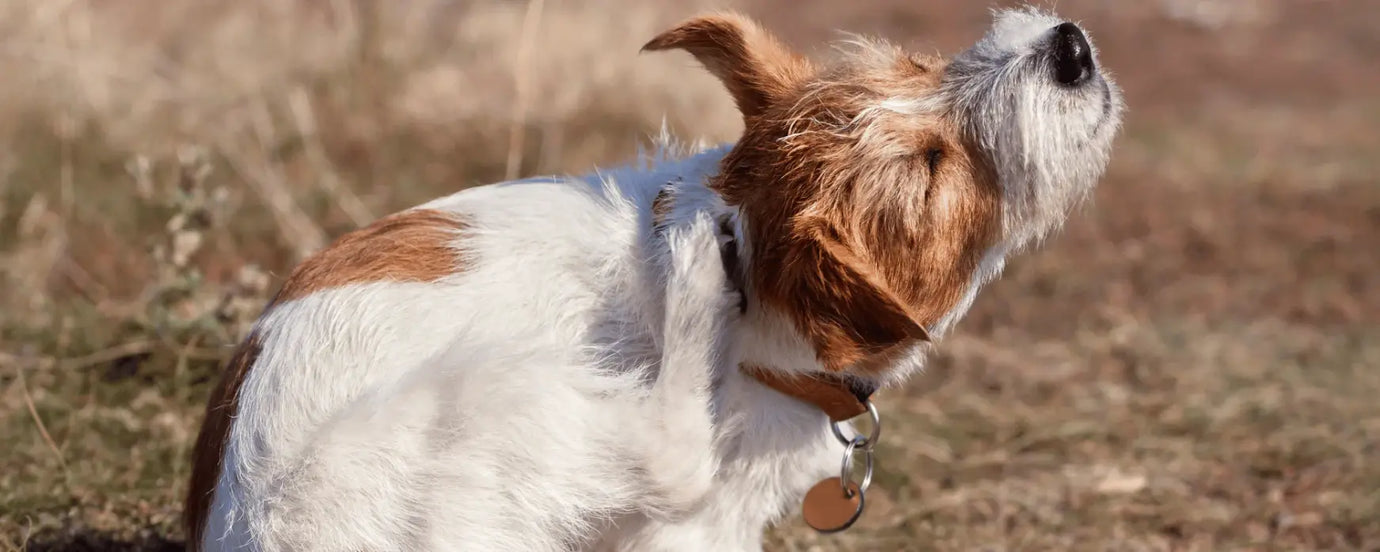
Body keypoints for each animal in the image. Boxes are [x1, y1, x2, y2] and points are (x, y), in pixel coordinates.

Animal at [186, 6, 1120, 549]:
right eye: (931, 168)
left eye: (921, 67)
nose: (1069, 47)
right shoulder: (689, 534)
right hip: (497, 393)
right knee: (670, 454)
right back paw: (693, 276)